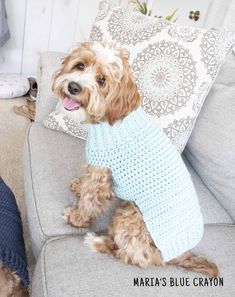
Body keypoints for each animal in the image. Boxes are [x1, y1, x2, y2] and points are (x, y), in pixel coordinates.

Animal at [52, 41, 219, 276]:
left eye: (101, 80)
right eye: (80, 65)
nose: (74, 87)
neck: (111, 120)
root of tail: (180, 254)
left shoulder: (101, 173)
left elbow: (90, 198)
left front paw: (77, 217)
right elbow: (86, 185)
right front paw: (78, 186)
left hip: (131, 220)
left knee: (133, 257)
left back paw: (97, 242)